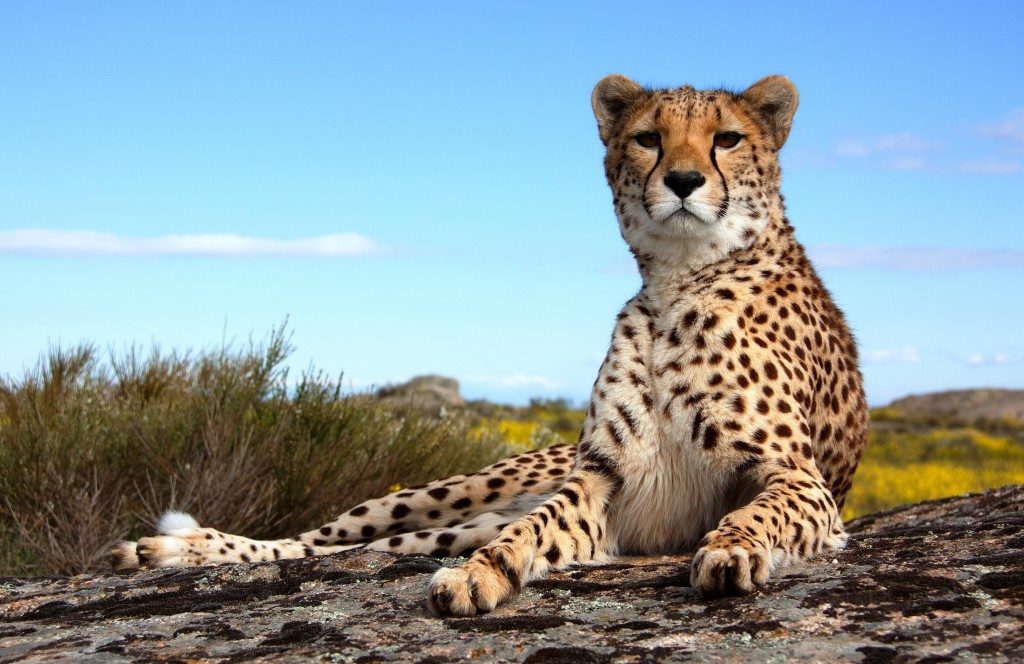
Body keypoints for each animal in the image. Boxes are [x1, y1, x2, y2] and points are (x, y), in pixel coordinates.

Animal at [112, 75, 864, 618]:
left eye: (727, 138)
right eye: (649, 139)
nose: (683, 181)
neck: (679, 280)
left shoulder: (799, 479)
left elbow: (757, 511)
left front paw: (732, 551)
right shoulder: (601, 479)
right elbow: (532, 531)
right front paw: (482, 576)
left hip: (453, 519)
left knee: (362, 546)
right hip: (452, 493)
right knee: (318, 539)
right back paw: (175, 549)